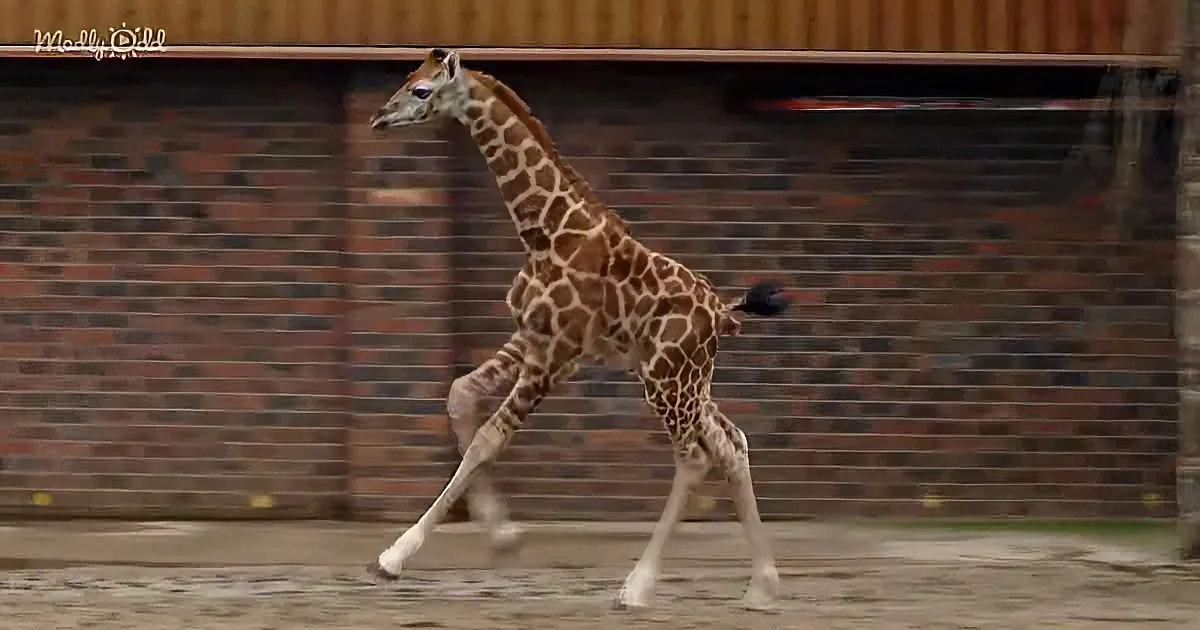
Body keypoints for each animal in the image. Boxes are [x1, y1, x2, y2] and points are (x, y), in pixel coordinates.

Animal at [367, 48, 790, 610]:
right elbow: (459, 395)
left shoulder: (558, 352)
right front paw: (503, 536)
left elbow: (489, 438)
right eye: (407, 76)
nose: (381, 117)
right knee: (731, 444)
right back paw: (762, 585)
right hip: (685, 380)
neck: (545, 232)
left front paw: (394, 556)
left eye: (421, 90)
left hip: (667, 380)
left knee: (695, 458)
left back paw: (637, 587)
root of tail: (723, 312)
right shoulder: (531, 336)